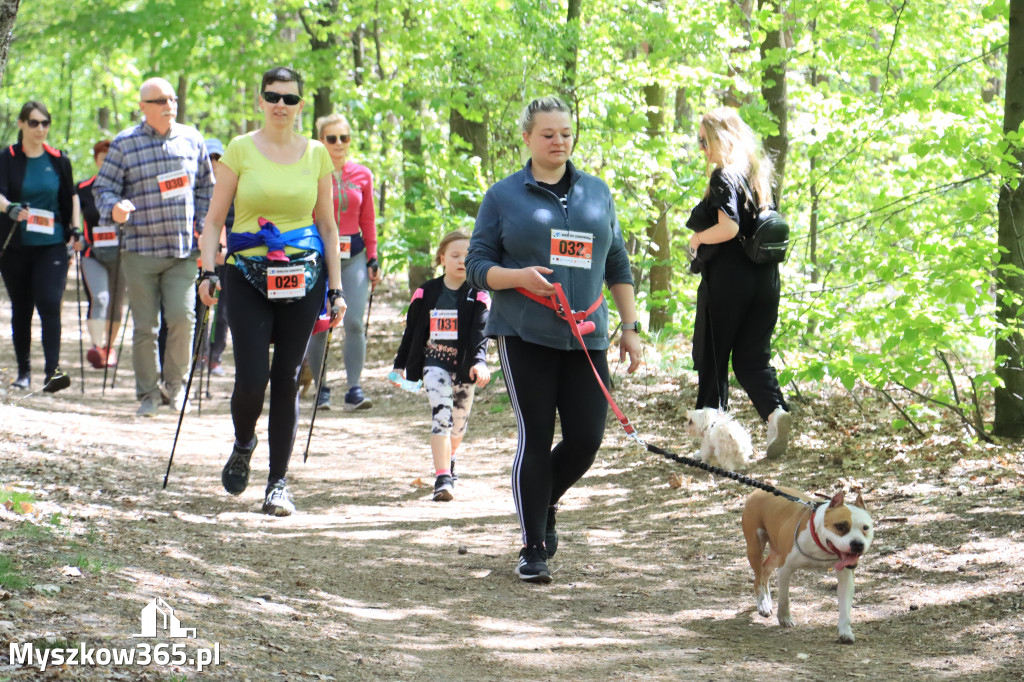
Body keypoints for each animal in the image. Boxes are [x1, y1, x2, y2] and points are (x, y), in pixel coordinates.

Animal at [741, 485, 876, 638]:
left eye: (865, 528)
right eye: (840, 526)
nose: (857, 544)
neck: (821, 546)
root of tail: (759, 490)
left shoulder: (846, 577)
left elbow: (845, 607)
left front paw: (845, 631)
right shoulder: (786, 568)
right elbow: (784, 598)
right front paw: (784, 617)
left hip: (776, 553)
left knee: (765, 570)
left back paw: (767, 600)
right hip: (755, 548)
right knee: (758, 577)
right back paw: (763, 603)